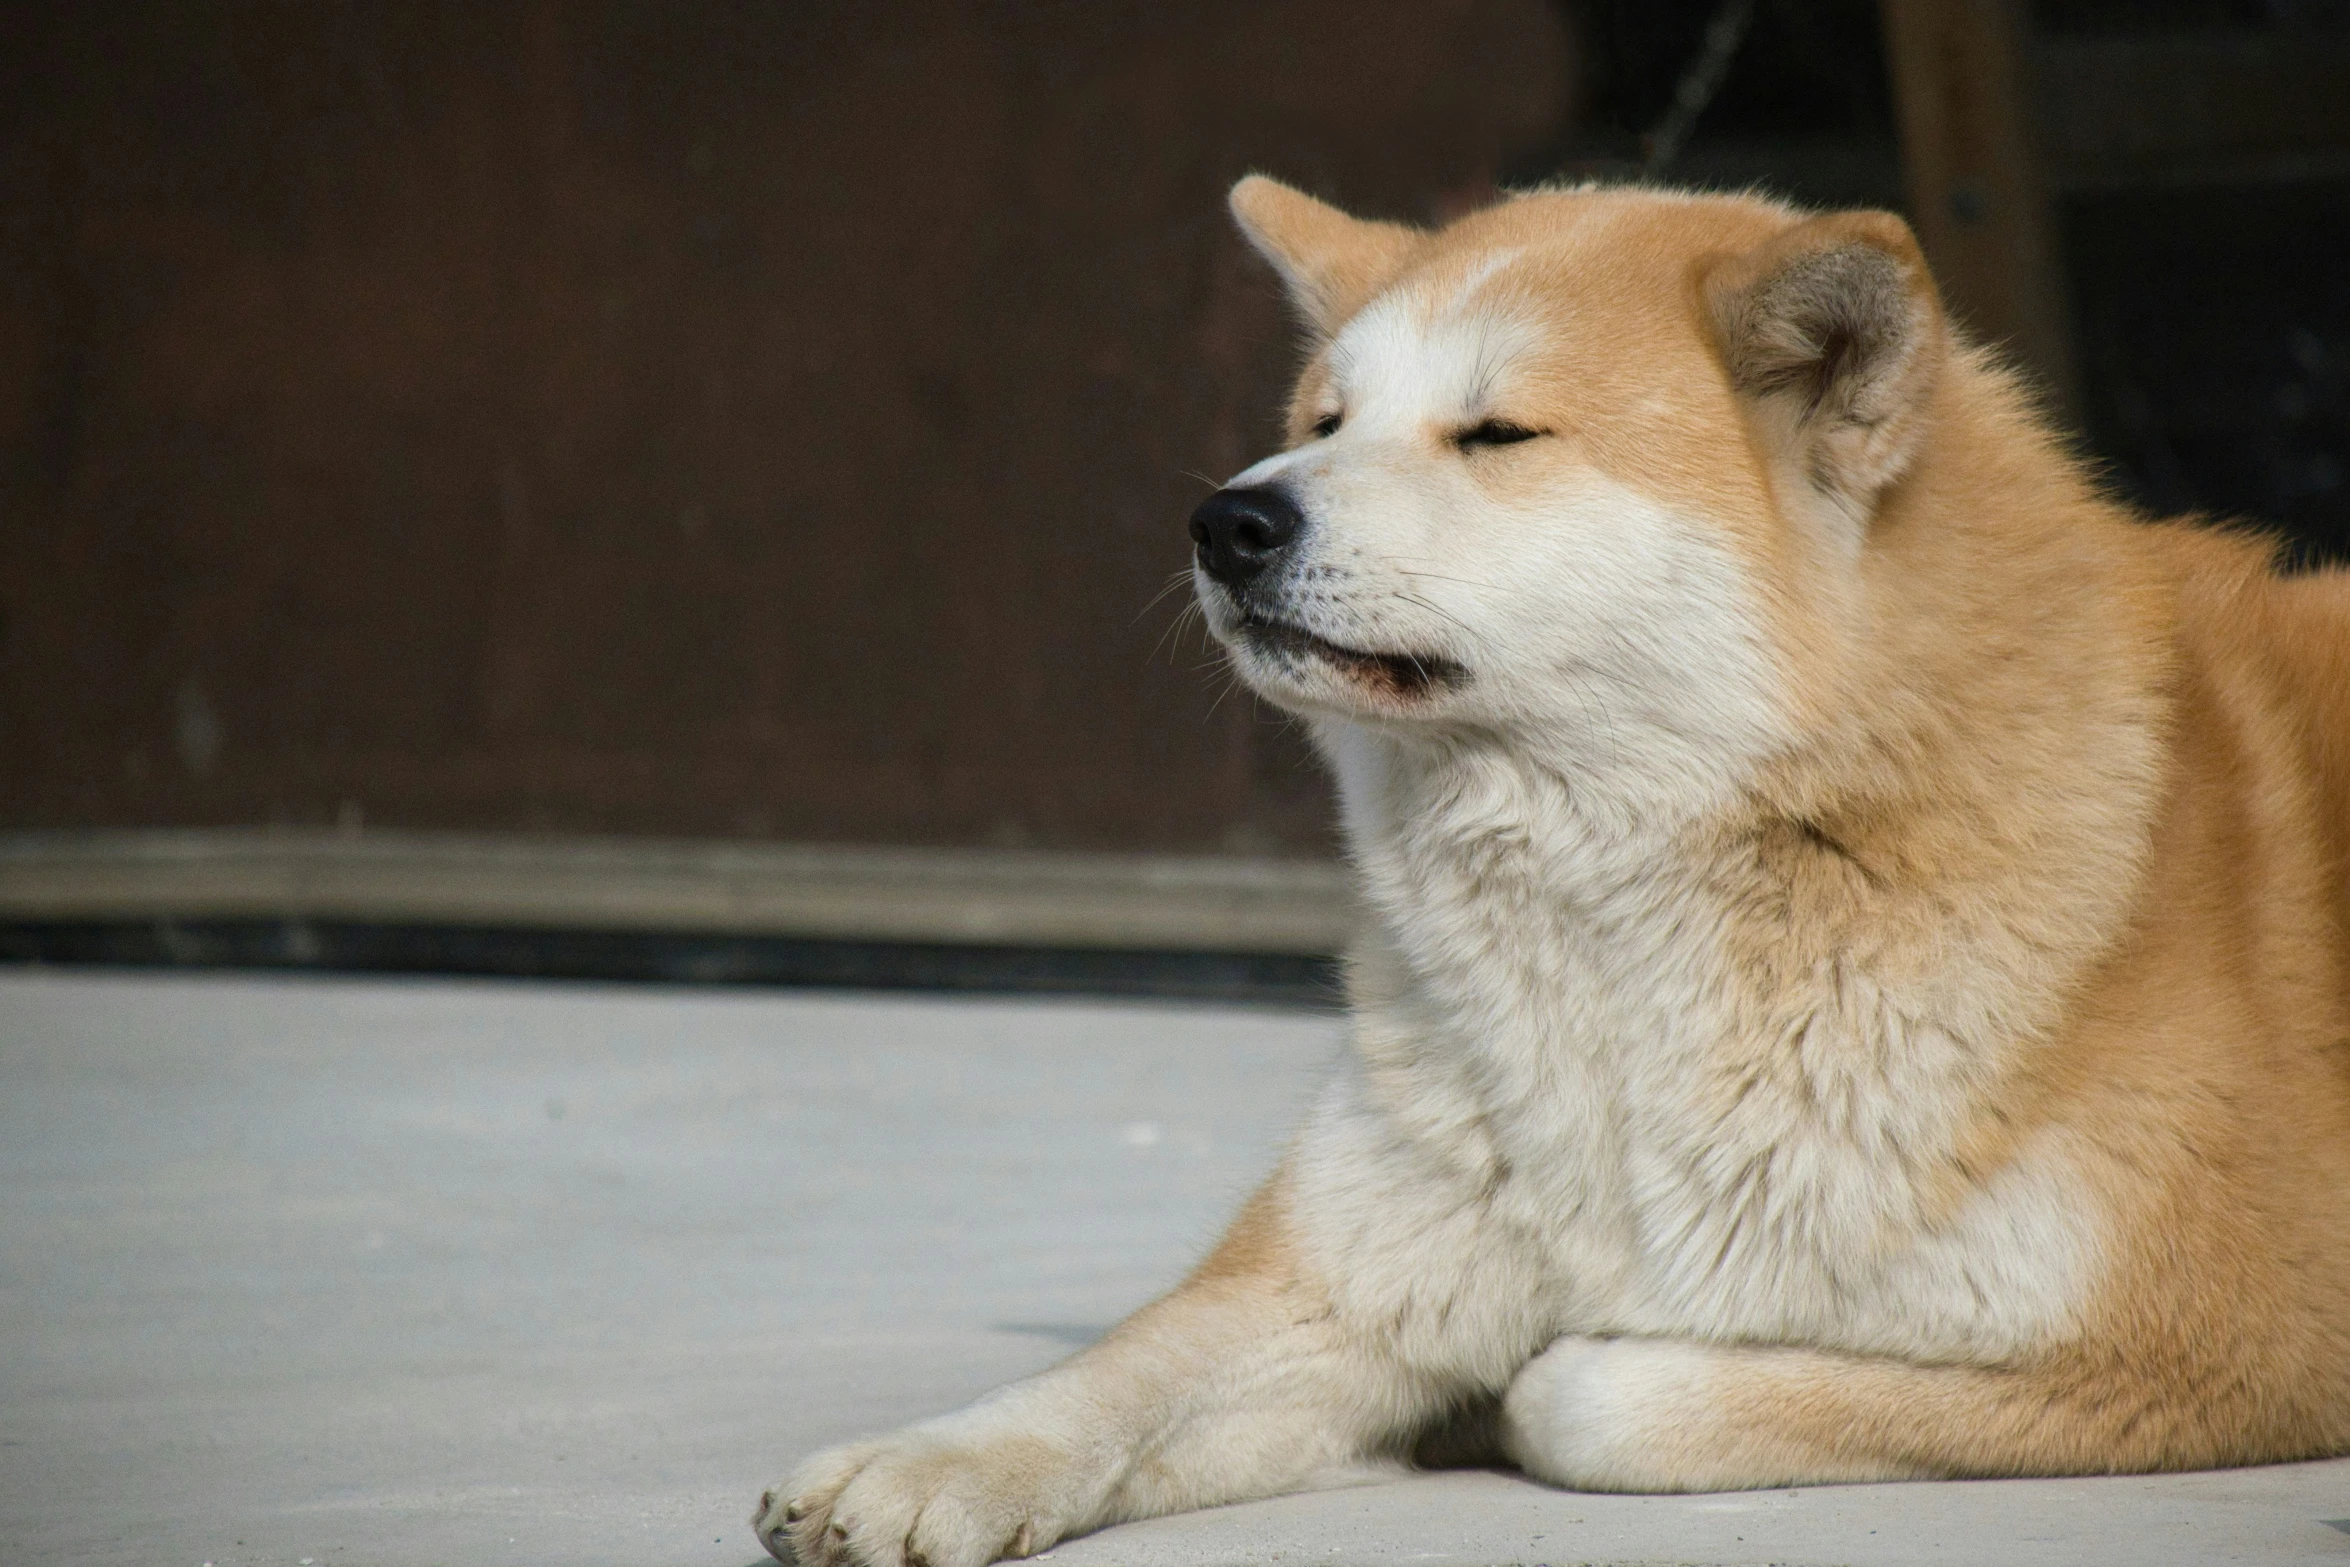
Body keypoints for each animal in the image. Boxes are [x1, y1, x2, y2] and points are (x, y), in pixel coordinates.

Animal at [756, 175, 2350, 1567]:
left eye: (1498, 434)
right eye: (1323, 419)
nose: (1229, 518)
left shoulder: (2213, 1351)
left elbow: (1589, 1389)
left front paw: (1512, 1401)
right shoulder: (1344, 1271)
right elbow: (1112, 1373)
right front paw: (927, 1458)